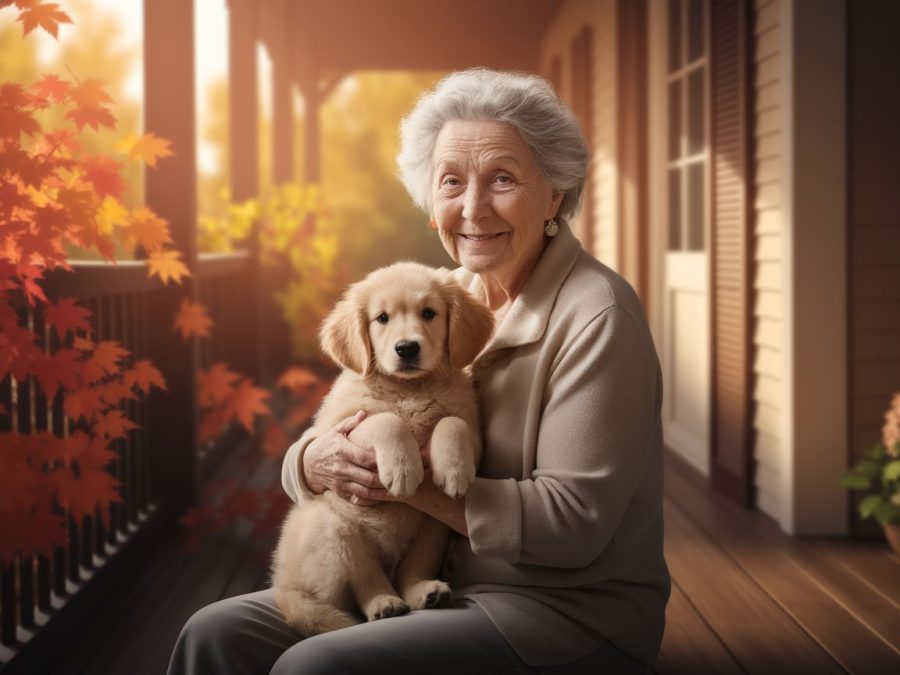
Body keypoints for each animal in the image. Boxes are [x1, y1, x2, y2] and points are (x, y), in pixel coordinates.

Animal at [272, 262, 492, 636]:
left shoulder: (473, 431)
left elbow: (452, 422)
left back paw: (425, 592)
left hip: (433, 529)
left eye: (429, 313)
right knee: (365, 579)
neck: (409, 388)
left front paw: (454, 469)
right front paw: (403, 468)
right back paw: (384, 604)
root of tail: (285, 586)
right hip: (331, 526)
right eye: (382, 318)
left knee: (408, 572)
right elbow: (386, 419)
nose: (407, 348)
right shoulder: (342, 428)